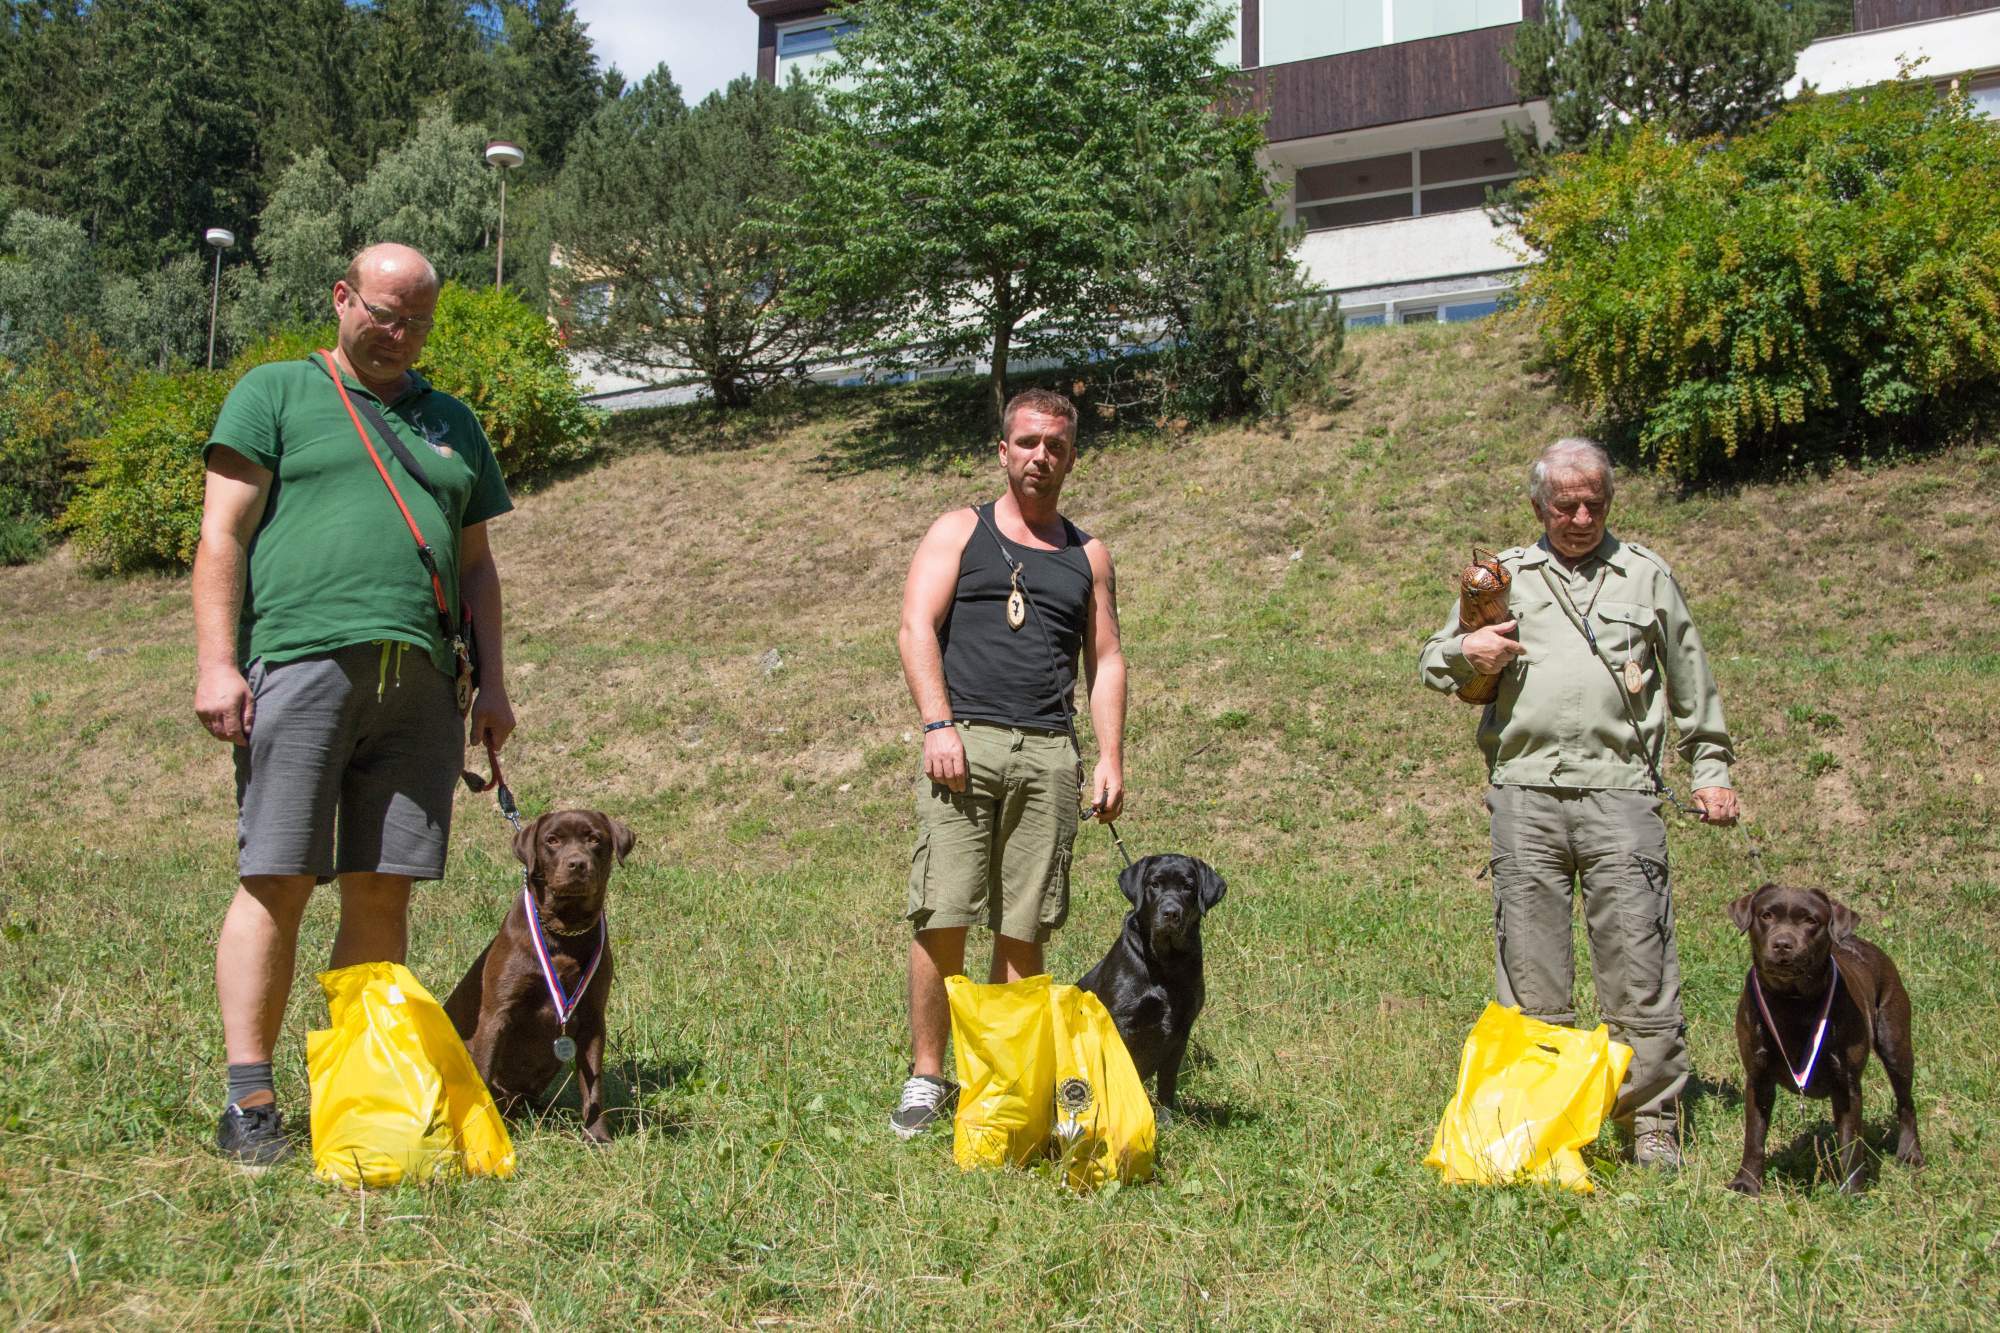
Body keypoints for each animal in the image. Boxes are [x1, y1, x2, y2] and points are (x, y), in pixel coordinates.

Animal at [446, 804, 632, 1136]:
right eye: (552, 840)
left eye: (595, 839)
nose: (577, 864)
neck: (564, 931)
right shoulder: (497, 1012)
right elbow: (483, 1072)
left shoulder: (593, 1017)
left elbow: (593, 1086)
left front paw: (597, 1137)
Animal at [1720, 880, 1920, 1192]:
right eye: (1766, 915)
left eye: (1811, 920)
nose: (1782, 943)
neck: (1792, 1000)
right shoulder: (1758, 1077)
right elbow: (1754, 1136)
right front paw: (1746, 1183)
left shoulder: (1846, 1083)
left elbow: (1850, 1142)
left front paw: (1852, 1190)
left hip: (1895, 1042)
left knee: (1906, 1102)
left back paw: (1910, 1154)